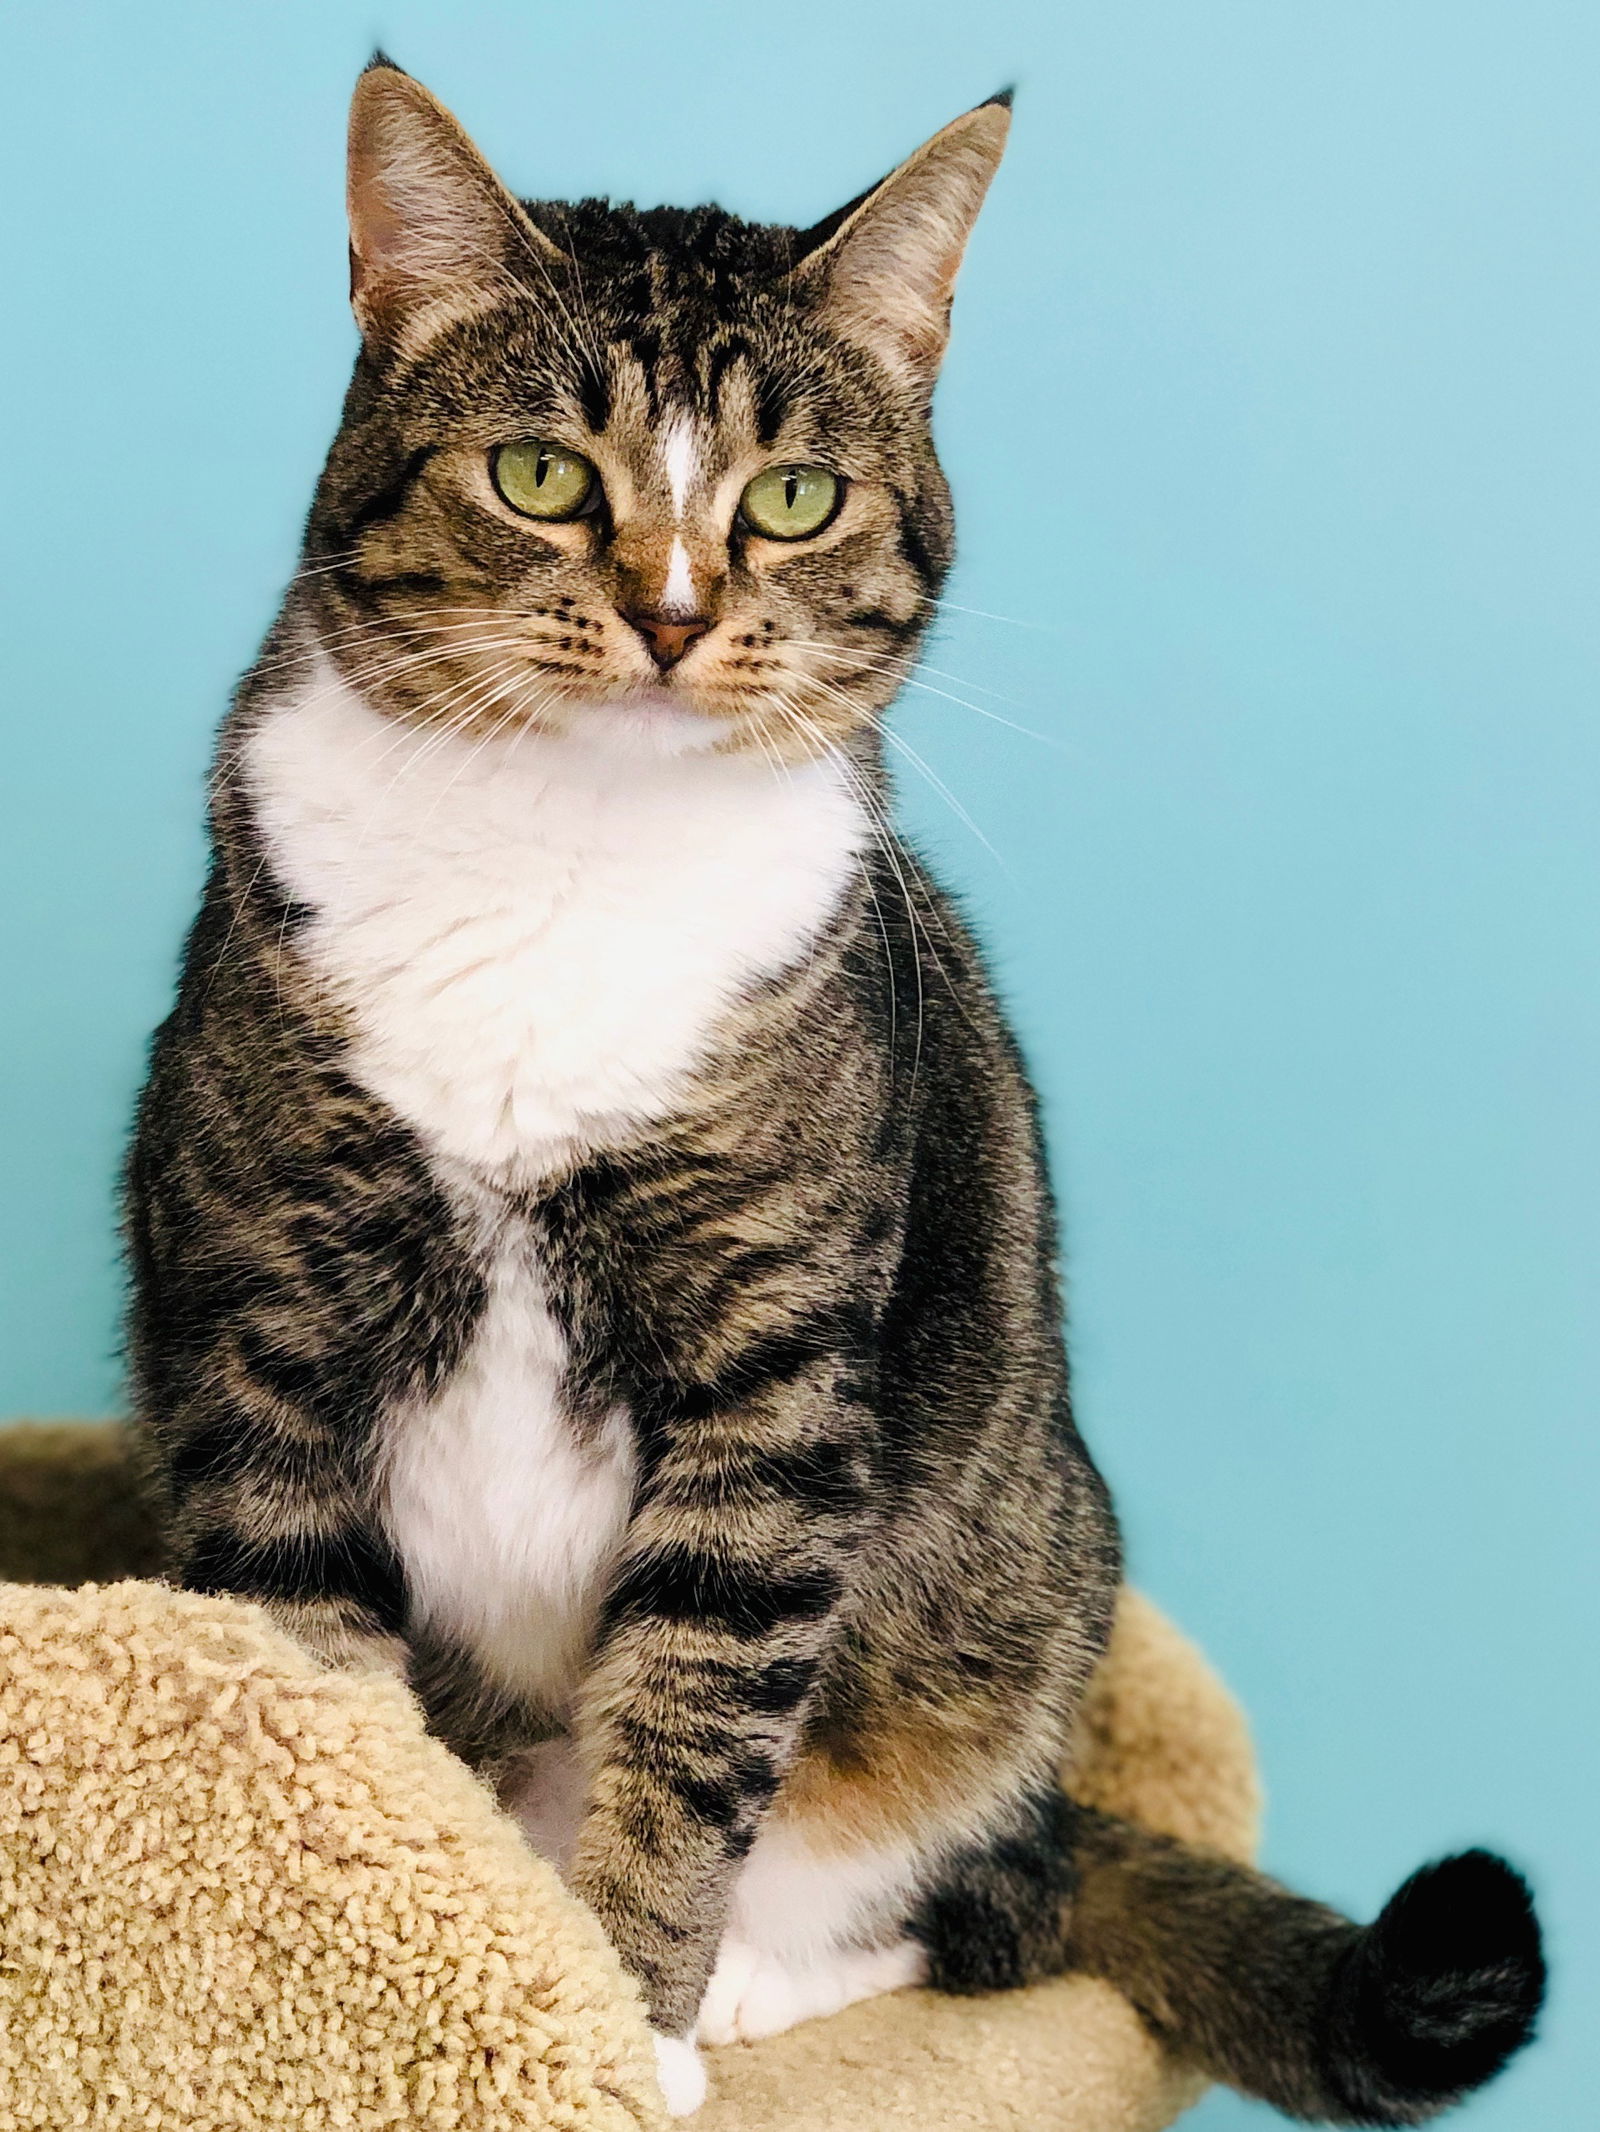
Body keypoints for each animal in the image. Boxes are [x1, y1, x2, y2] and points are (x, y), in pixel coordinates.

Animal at [131, 58, 1544, 2123]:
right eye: (542, 474)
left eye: (792, 500)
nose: (671, 612)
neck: (566, 853)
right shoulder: (272, 1330)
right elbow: (323, 1694)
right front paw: (406, 1978)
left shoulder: (774, 1371)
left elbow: (695, 1714)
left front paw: (622, 2023)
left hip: (992, 1634)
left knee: (985, 1912)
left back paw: (757, 1979)